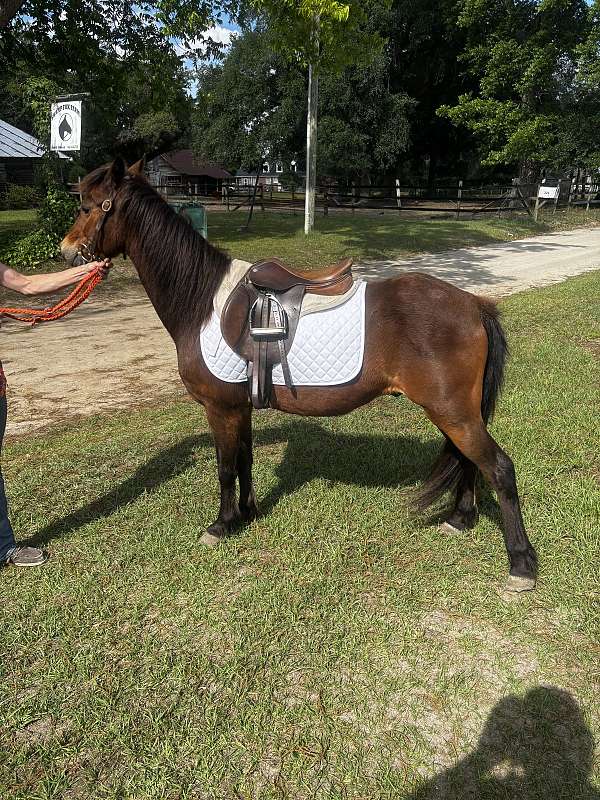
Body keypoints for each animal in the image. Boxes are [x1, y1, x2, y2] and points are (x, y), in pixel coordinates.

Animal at [60, 158, 537, 592]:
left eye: (86, 206)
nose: (66, 250)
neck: (204, 302)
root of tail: (474, 304)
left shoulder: (219, 408)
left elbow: (225, 468)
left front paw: (220, 525)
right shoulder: (239, 408)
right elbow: (244, 460)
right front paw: (246, 514)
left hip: (453, 412)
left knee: (498, 468)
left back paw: (520, 564)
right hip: (457, 414)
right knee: (469, 462)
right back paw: (460, 520)